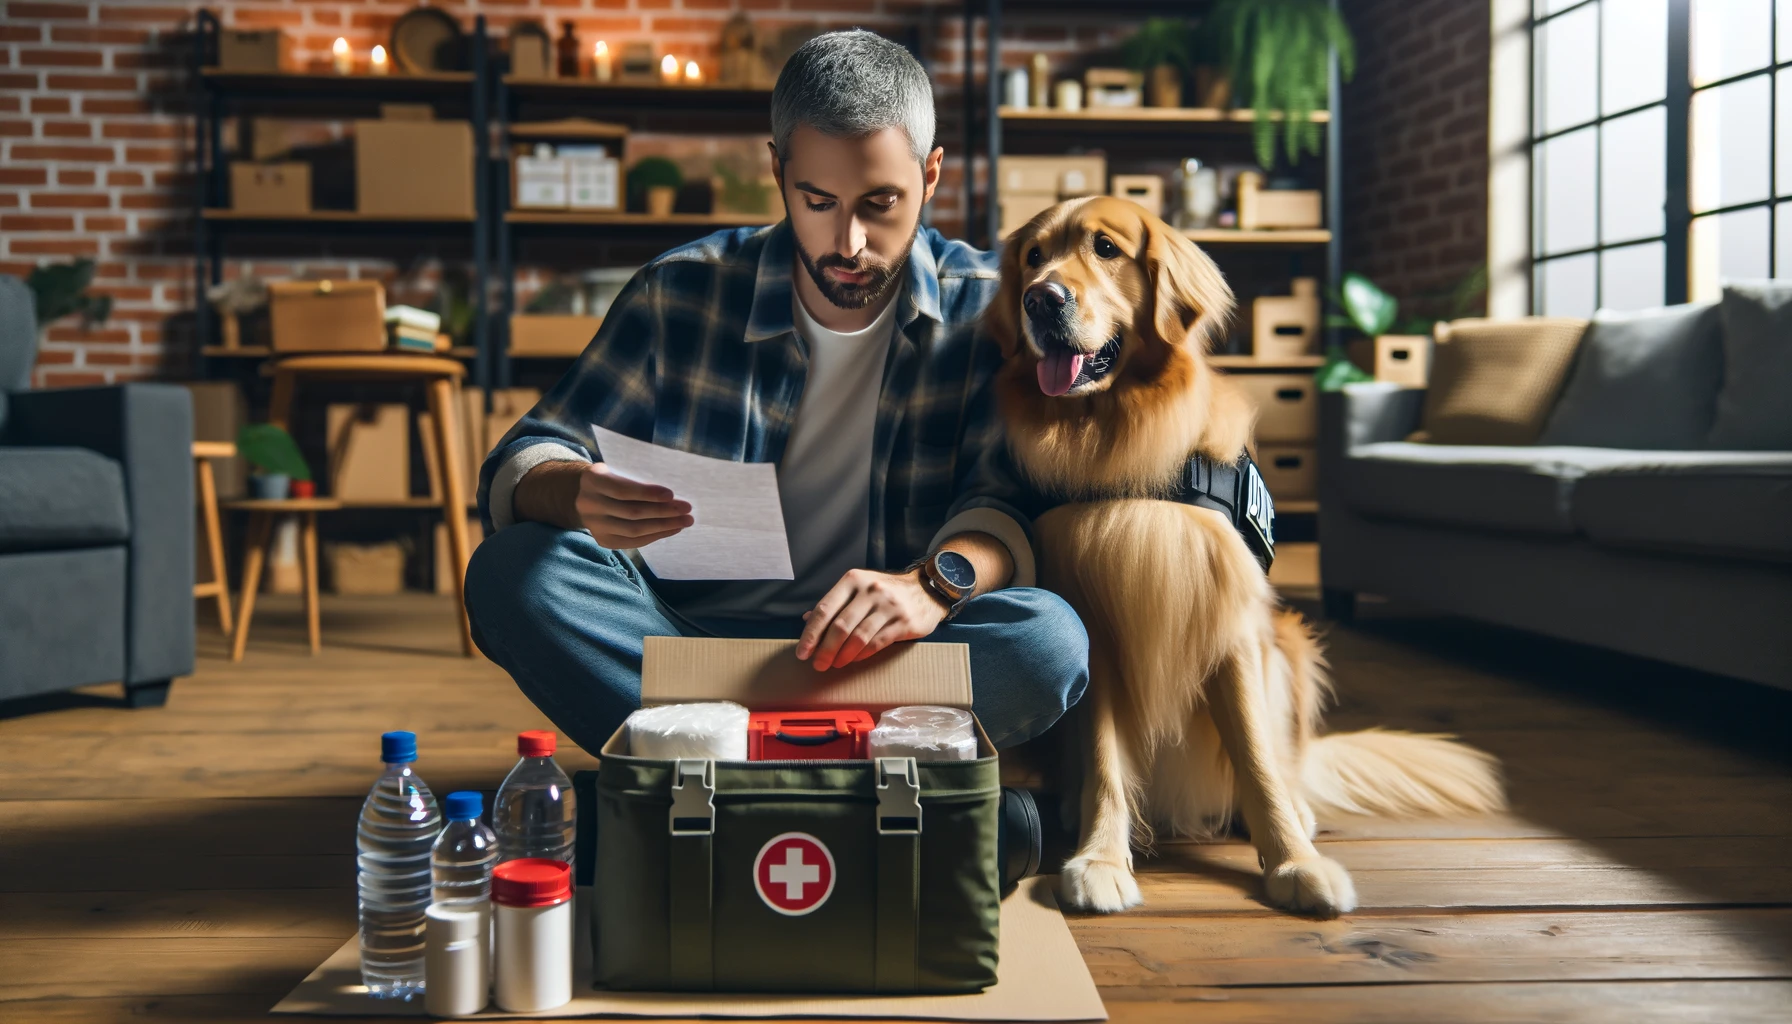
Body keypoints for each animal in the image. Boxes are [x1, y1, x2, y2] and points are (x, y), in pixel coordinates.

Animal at [989, 196, 1505, 918]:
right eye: (1033, 257)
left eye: (1105, 248)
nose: (1040, 299)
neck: (1121, 441)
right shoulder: (1099, 623)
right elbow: (1105, 759)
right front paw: (1100, 858)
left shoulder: (1231, 623)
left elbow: (1257, 760)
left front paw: (1295, 862)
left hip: (1287, 645)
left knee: (1284, 763)